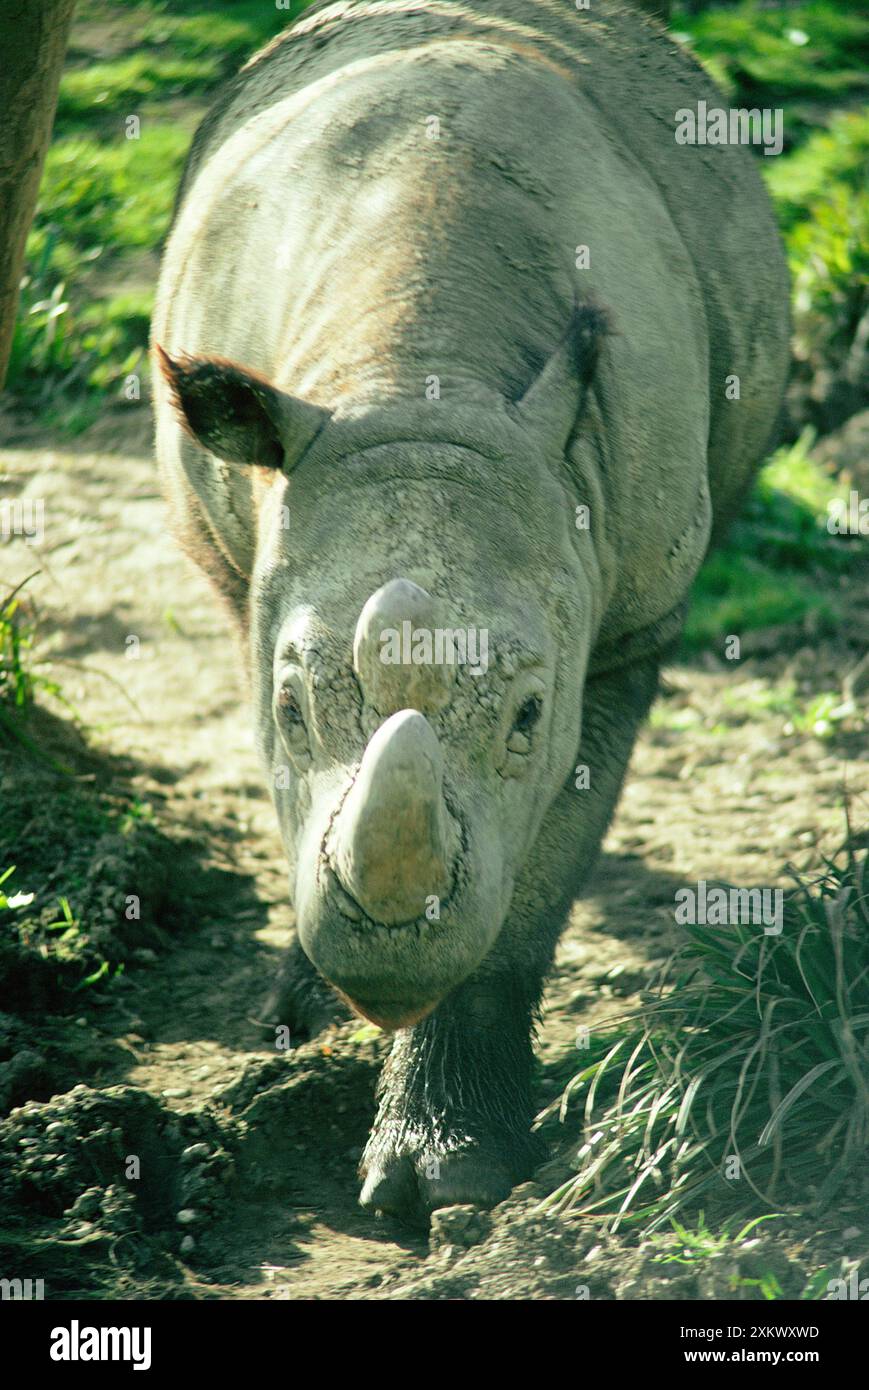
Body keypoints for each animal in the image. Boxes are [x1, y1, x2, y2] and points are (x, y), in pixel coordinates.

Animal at [152, 0, 789, 1223]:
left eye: (528, 716)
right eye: (291, 707)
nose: (386, 965)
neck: (416, 373)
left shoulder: (623, 624)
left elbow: (525, 895)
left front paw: (446, 1175)